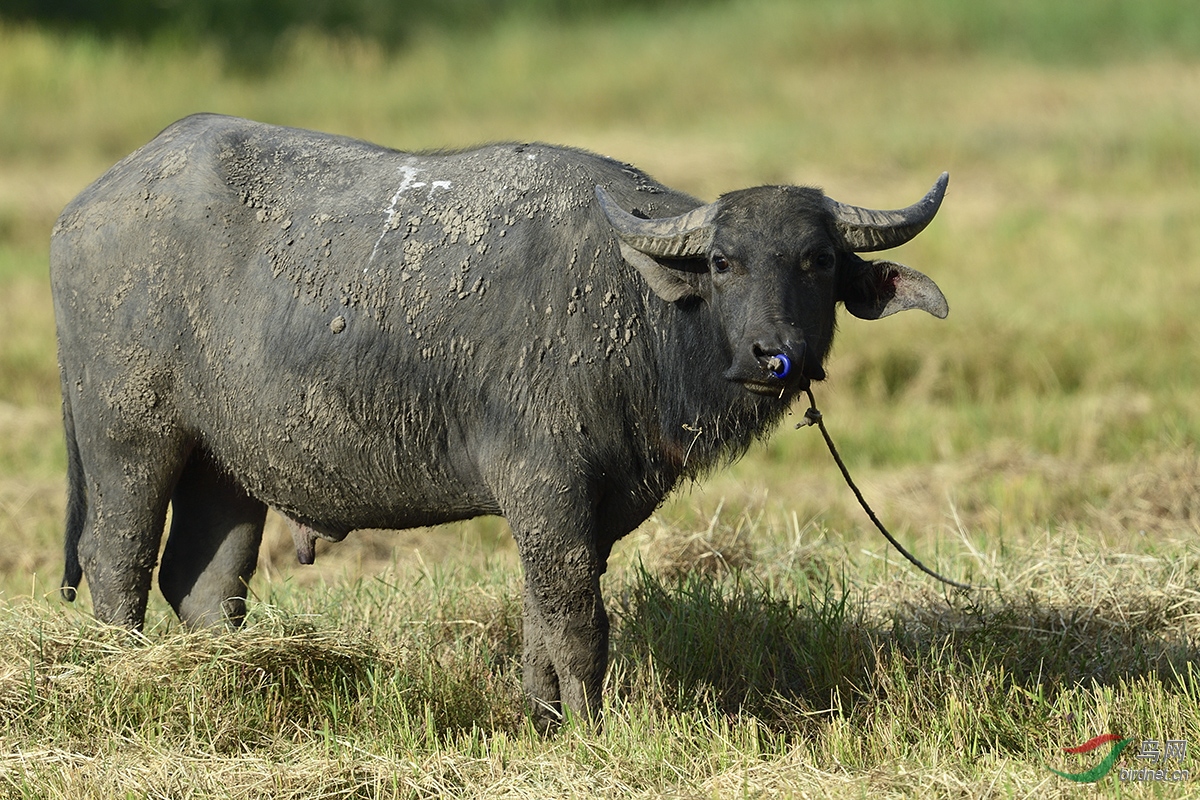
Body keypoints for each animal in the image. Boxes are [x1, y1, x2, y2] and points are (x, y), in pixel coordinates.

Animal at [51, 112, 945, 734]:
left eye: (818, 261)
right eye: (725, 263)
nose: (774, 354)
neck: (636, 309)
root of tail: (81, 214)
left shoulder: (580, 510)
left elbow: (540, 617)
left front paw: (542, 718)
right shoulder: (547, 489)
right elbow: (578, 622)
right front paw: (589, 729)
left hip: (226, 464)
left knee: (203, 583)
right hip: (128, 438)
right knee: (116, 561)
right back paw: (118, 677)